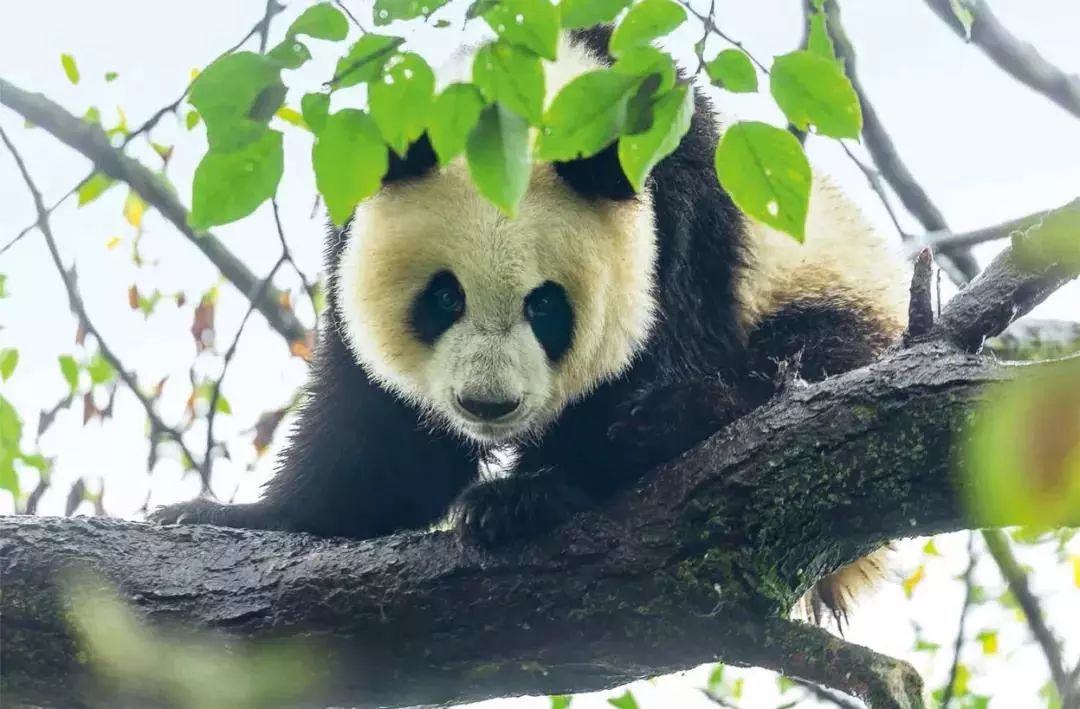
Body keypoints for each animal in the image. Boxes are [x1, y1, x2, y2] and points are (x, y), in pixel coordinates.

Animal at [154, 23, 911, 622]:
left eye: (545, 305)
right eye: (443, 298)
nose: (487, 404)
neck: (541, 91)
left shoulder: (682, 214)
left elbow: (661, 349)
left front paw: (525, 495)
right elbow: (379, 438)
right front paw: (228, 514)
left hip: (837, 293)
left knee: (806, 358)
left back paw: (685, 414)